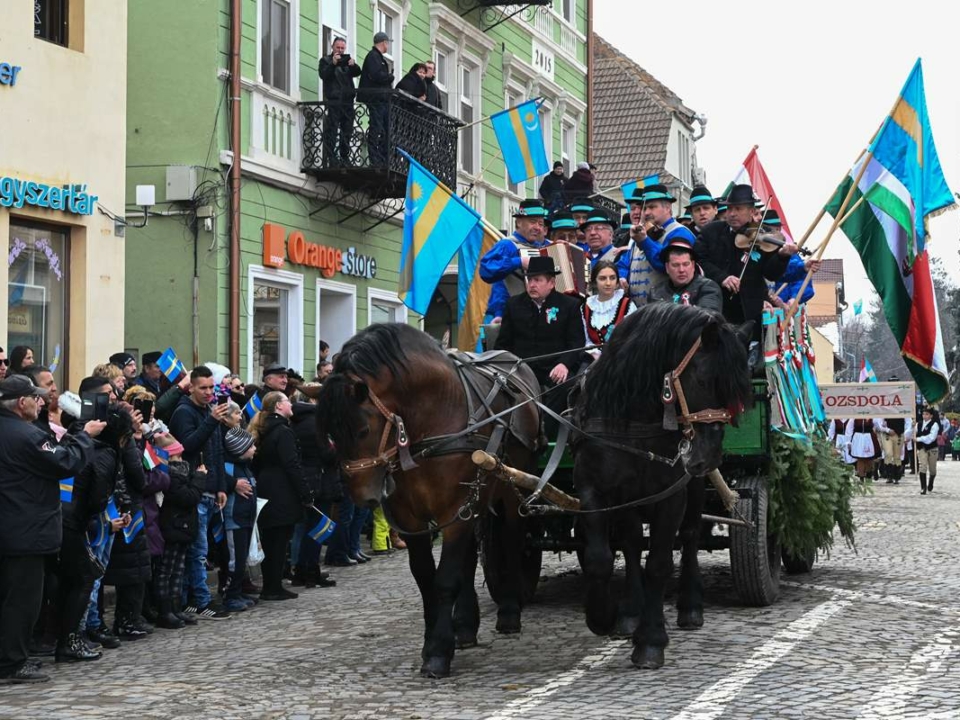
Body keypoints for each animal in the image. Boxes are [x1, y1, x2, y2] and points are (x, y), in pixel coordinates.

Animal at [316, 324, 540, 676]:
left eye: (363, 430)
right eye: (329, 434)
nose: (362, 497)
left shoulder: (455, 508)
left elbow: (445, 580)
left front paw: (437, 651)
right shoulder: (412, 516)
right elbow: (425, 576)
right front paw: (435, 637)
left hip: (511, 489)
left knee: (512, 539)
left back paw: (508, 612)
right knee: (469, 558)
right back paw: (465, 626)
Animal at [568, 302, 752, 668]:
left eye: (737, 394)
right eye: (704, 380)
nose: (708, 457)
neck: (632, 421)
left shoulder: (671, 495)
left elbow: (659, 563)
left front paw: (651, 640)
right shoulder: (597, 491)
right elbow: (602, 556)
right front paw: (603, 616)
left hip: (692, 491)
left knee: (691, 536)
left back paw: (690, 606)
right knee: (631, 543)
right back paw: (630, 612)